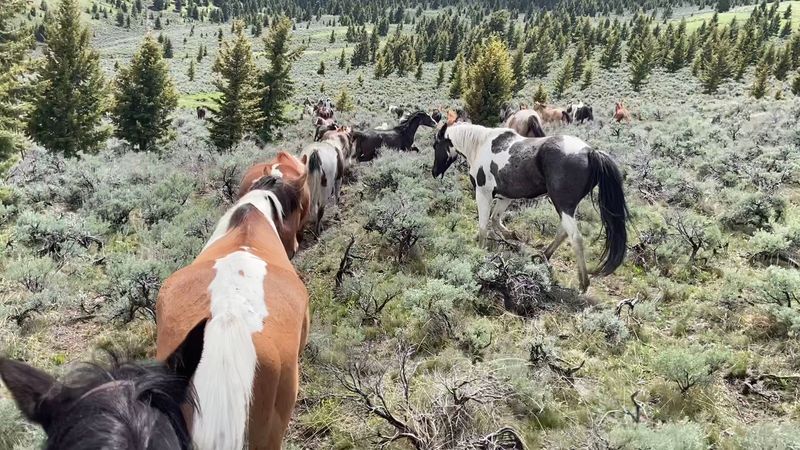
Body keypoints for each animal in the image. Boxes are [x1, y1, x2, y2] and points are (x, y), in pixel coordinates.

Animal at [431, 122, 629, 292]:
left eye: (435, 145)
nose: (434, 172)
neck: (481, 145)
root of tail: (590, 152)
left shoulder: (483, 193)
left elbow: (483, 225)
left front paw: (481, 251)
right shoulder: (505, 196)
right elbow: (495, 220)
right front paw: (512, 235)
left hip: (562, 204)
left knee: (575, 238)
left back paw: (583, 283)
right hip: (567, 206)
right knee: (563, 232)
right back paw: (542, 257)